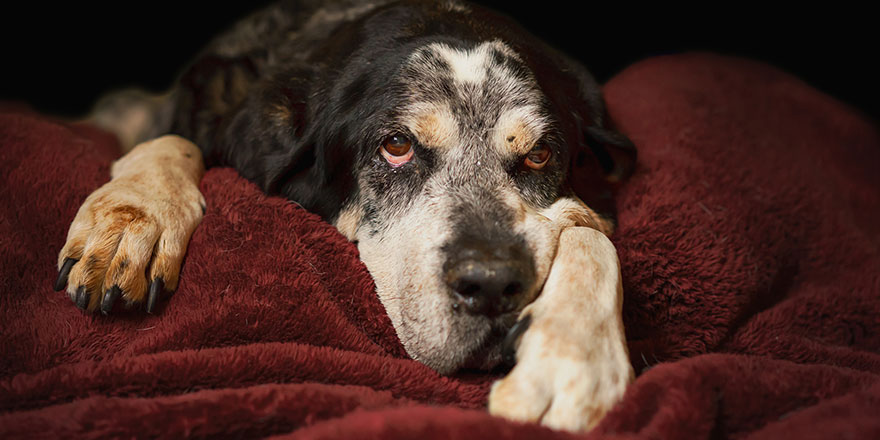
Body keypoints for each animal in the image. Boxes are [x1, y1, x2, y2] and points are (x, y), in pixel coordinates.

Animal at [51, 0, 636, 432]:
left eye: (540, 155)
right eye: (396, 146)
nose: (491, 286)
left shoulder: (585, 206)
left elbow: (588, 232)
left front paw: (574, 356)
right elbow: (174, 141)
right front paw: (133, 219)